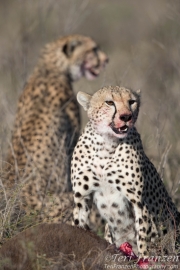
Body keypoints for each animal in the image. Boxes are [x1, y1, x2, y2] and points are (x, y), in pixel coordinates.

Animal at [71, 86, 180, 258]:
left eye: (132, 101)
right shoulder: (82, 199)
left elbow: (143, 239)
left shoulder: (138, 202)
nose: (126, 116)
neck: (107, 144)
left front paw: (145, 259)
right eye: (109, 102)